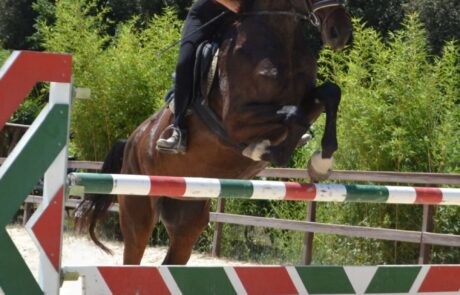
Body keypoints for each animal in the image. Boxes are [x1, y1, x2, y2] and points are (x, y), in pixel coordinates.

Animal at [77, 0, 352, 266]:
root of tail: (131, 141)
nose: (340, 32)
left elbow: (330, 93)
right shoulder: (235, 119)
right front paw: (265, 150)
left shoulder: (306, 100)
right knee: (134, 250)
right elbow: (292, 115)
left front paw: (321, 160)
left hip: (188, 213)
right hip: (138, 210)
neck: (280, 34)